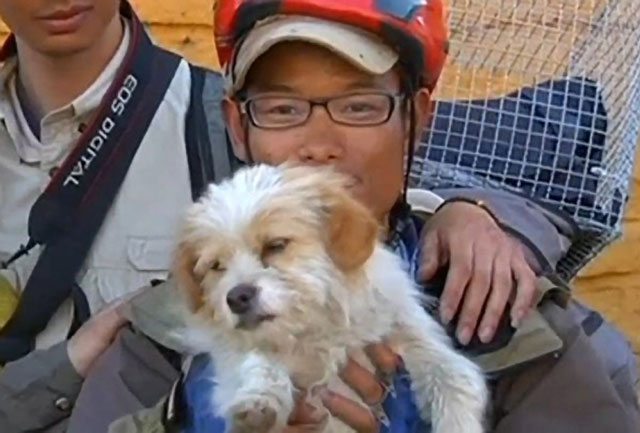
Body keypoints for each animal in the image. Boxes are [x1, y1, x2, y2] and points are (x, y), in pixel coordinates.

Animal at [172, 163, 488, 432]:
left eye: (275, 245)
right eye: (216, 266)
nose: (236, 297)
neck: (315, 330)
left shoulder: (409, 331)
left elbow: (454, 377)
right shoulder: (237, 353)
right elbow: (258, 362)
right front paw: (258, 400)